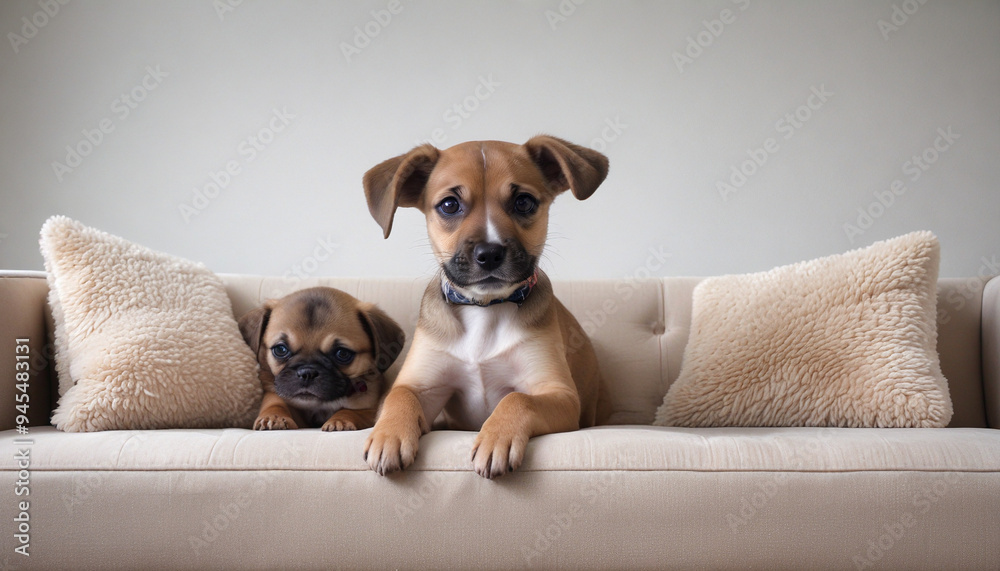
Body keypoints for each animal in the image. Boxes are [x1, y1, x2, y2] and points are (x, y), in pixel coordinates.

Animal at [238, 287, 405, 431]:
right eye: (280, 349)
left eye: (342, 353)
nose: (307, 373)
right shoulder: (278, 396)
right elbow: (275, 403)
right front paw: (274, 417)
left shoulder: (368, 409)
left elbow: (350, 411)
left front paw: (340, 421)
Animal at [361, 135, 609, 478]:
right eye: (450, 205)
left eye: (524, 202)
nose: (489, 254)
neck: (484, 309)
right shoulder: (423, 387)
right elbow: (399, 395)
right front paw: (389, 436)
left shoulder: (560, 395)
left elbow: (519, 399)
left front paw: (496, 438)